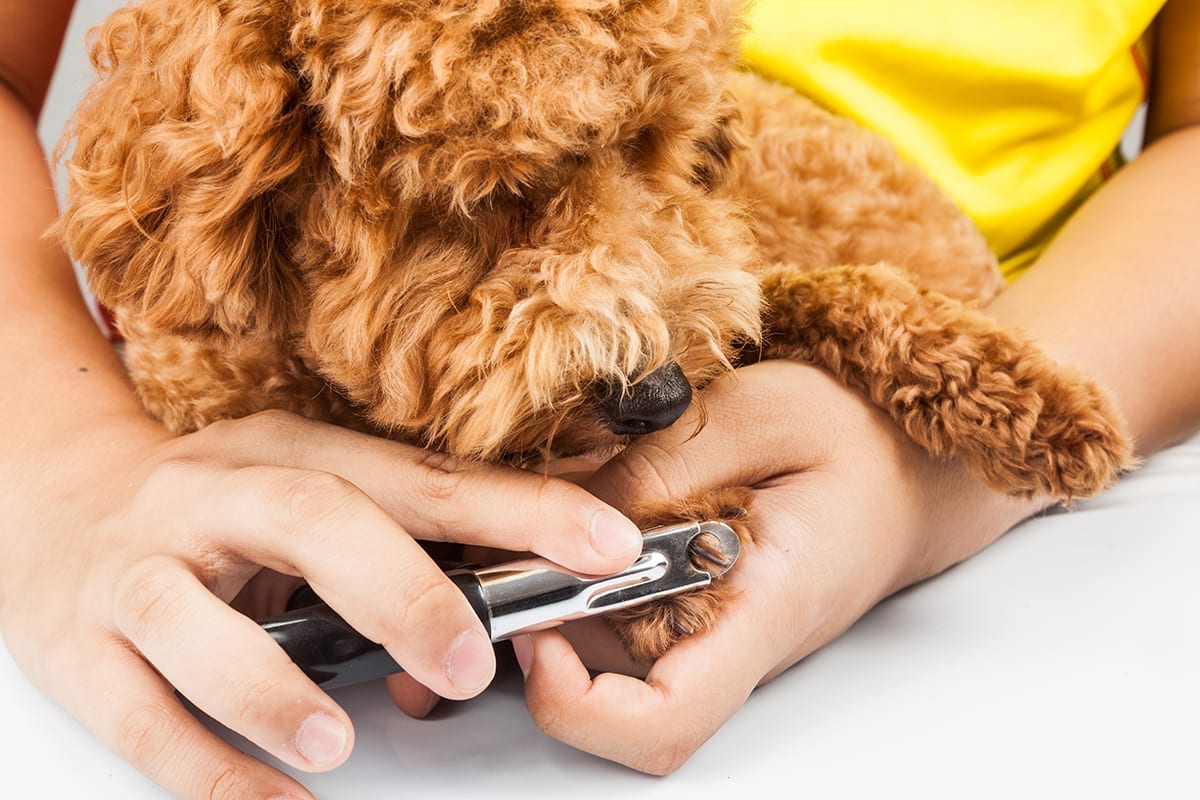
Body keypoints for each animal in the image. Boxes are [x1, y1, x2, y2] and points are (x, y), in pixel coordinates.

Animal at [51, 0, 1128, 662]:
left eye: (661, 148)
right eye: (489, 194)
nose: (660, 398)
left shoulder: (727, 266)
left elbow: (814, 292)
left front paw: (1037, 402)